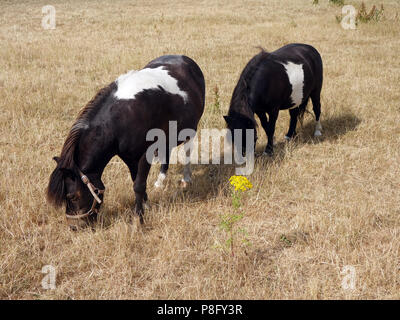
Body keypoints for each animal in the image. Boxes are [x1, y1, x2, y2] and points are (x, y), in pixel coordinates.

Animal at [47, 56, 206, 229]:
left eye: (73, 196)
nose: (74, 226)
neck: (123, 117)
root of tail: (184, 58)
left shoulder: (145, 154)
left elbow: (138, 185)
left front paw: (139, 219)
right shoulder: (129, 157)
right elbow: (136, 181)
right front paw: (145, 206)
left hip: (190, 130)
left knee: (188, 151)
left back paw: (186, 178)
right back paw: (160, 181)